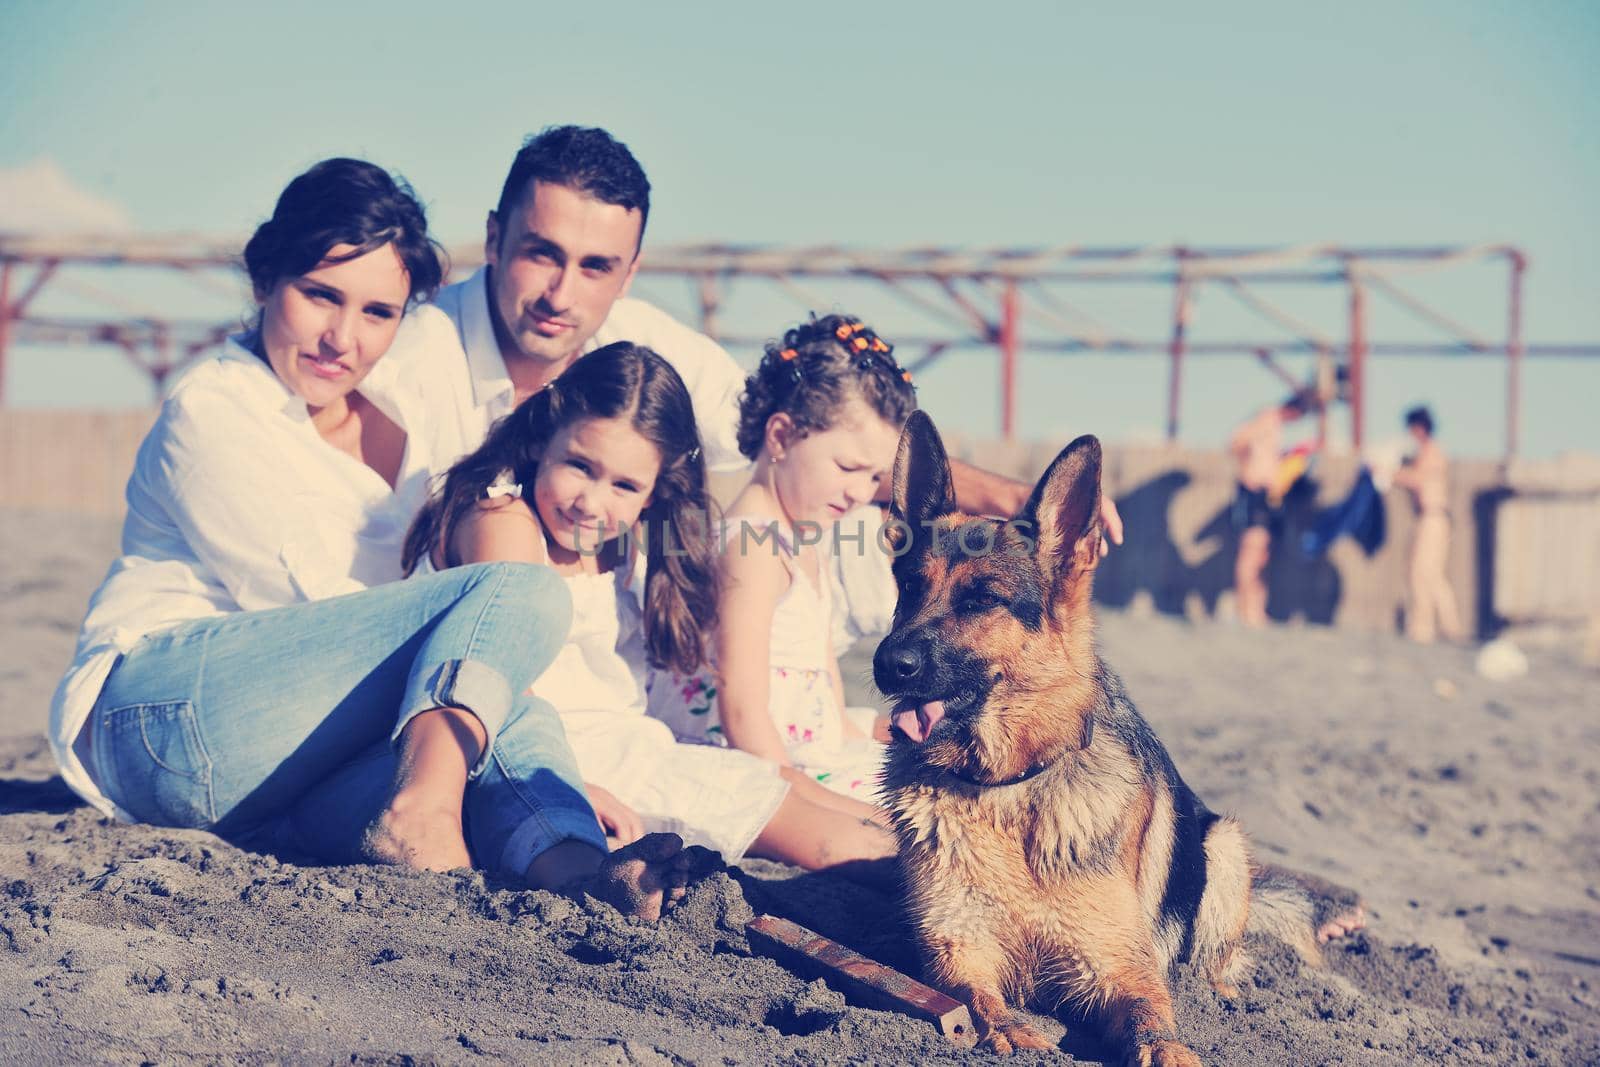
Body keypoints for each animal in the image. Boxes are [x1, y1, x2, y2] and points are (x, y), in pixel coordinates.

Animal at [876, 412, 1363, 1067]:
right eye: (907, 586)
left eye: (981, 599)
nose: (887, 664)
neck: (1009, 788)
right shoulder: (960, 948)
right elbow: (978, 999)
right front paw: (1007, 1029)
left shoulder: (1118, 966)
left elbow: (1152, 1018)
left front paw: (1169, 1049)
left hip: (1223, 846)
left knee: (1217, 959)